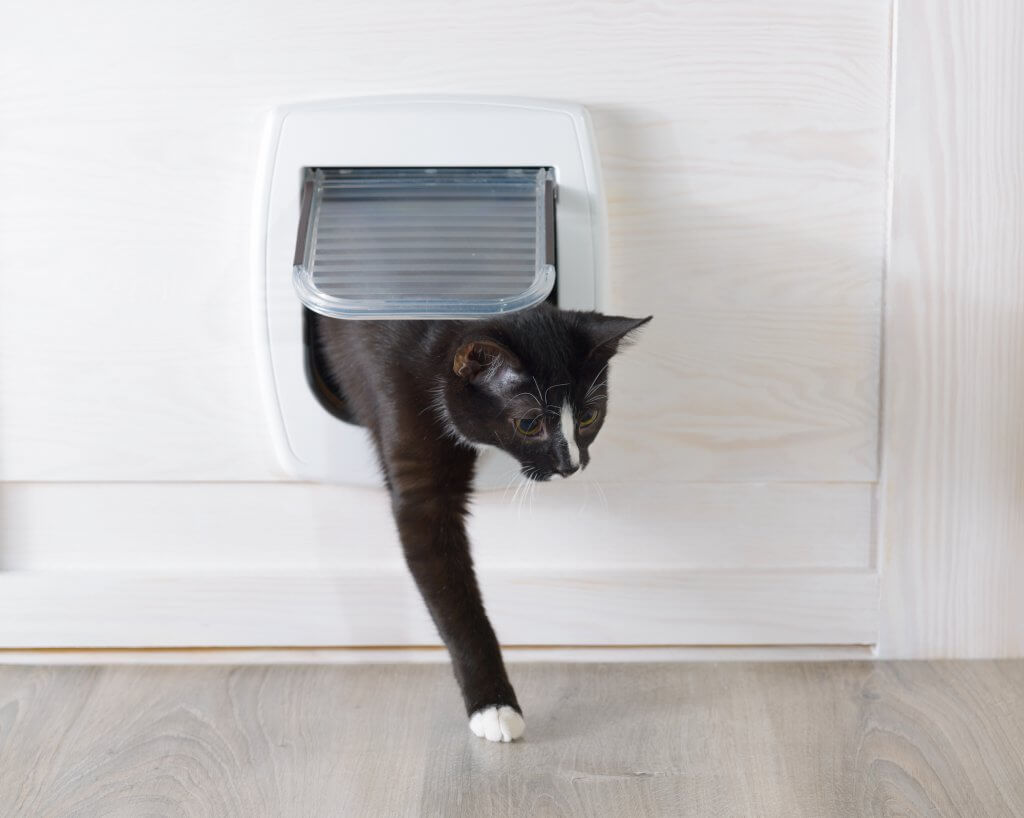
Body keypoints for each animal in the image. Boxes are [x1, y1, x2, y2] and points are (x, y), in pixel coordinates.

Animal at [307, 303, 651, 745]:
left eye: (589, 416)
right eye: (529, 424)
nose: (570, 465)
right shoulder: (397, 395)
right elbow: (449, 591)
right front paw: (494, 707)